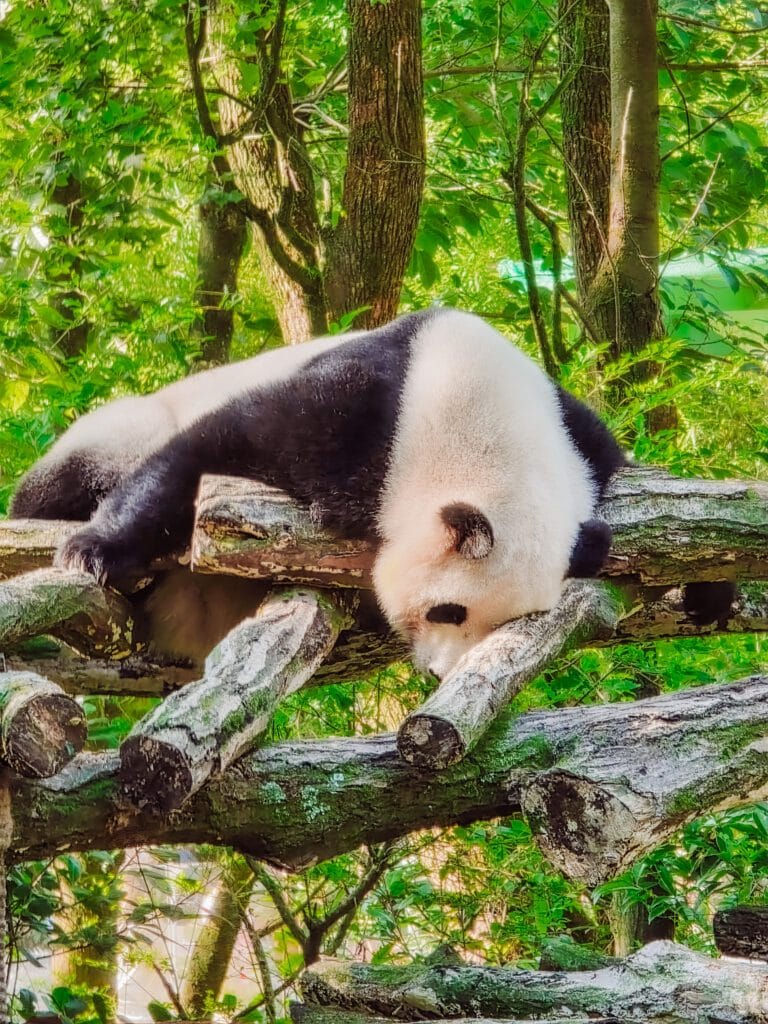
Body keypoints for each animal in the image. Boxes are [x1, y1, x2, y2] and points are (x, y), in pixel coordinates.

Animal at [11, 308, 624, 678]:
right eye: (448, 611)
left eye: (501, 629)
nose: (439, 672)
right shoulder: (374, 408)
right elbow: (216, 447)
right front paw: (95, 551)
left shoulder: (577, 433)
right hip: (123, 428)